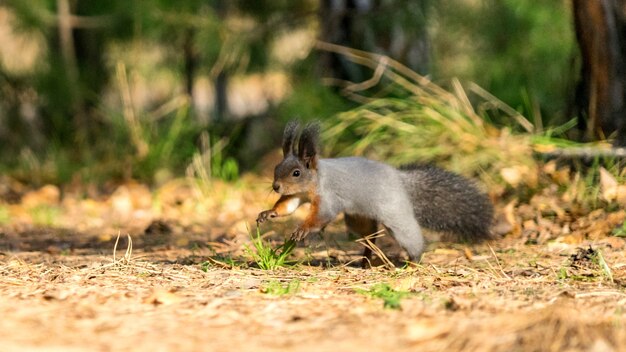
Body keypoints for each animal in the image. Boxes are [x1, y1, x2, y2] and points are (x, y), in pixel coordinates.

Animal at [256, 122, 490, 262]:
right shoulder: (297, 195)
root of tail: (400, 179)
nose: (276, 186)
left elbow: (321, 215)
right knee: (369, 237)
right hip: (358, 218)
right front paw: (269, 213)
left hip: (395, 214)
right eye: (277, 168)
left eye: (296, 173)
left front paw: (302, 229)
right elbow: (287, 206)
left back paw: (413, 261)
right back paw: (366, 260)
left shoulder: (328, 197)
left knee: (410, 236)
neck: (314, 182)